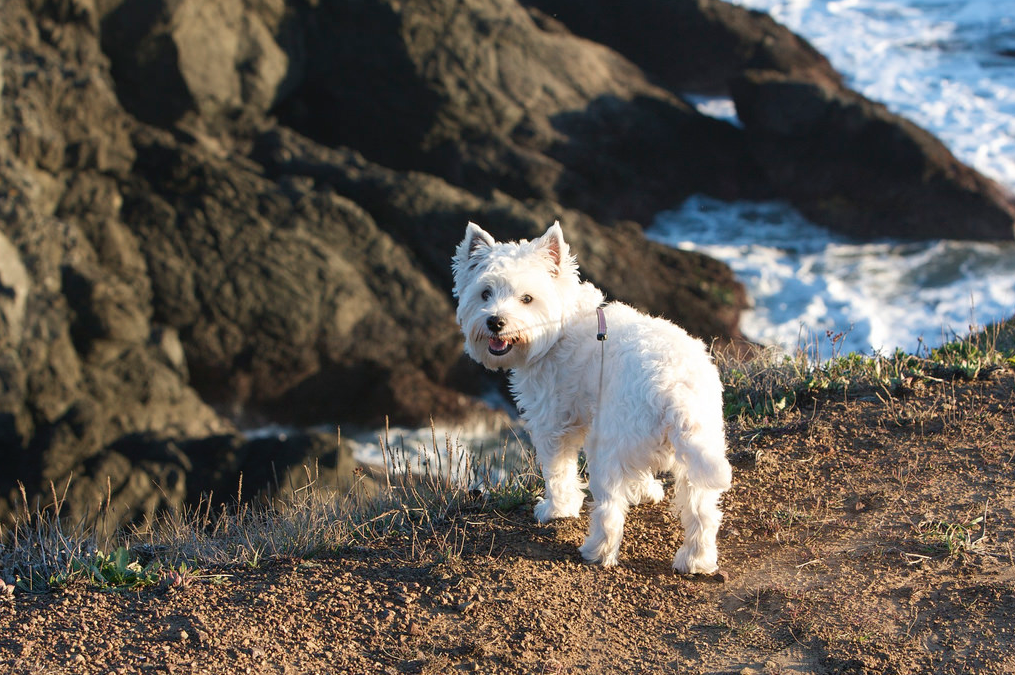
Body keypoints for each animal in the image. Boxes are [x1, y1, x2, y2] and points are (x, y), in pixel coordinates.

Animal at [452, 223, 730, 572]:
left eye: (527, 298)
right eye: (485, 293)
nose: (495, 322)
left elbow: (558, 472)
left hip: (607, 447)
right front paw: (645, 491)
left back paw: (597, 550)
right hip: (699, 449)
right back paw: (696, 560)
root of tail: (674, 389)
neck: (559, 326)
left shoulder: (552, 423)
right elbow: (640, 473)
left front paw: (556, 510)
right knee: (702, 511)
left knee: (609, 511)